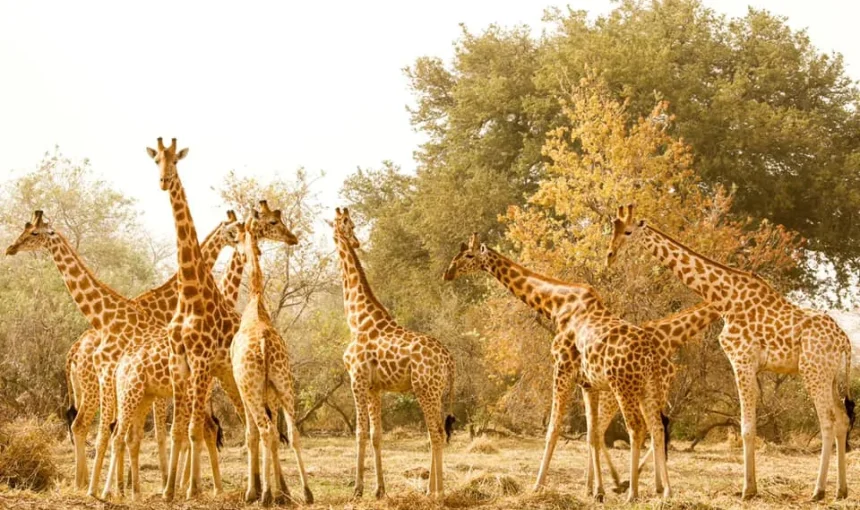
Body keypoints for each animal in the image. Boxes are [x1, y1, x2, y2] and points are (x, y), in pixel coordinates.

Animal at [231, 218, 313, 505]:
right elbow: (279, 437)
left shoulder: (243, 389)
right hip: (285, 383)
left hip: (252, 388)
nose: (242, 253)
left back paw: (265, 495)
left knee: (265, 430)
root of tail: (265, 343)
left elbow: (251, 435)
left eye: (238, 238)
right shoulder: (272, 392)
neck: (256, 302)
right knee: (293, 431)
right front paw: (283, 492)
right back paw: (306, 493)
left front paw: (254, 491)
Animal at [330, 208, 456, 498]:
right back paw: (430, 489)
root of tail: (449, 359)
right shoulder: (375, 387)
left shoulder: (357, 380)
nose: (355, 241)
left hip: (424, 389)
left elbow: (360, 432)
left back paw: (438, 492)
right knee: (436, 432)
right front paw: (380, 490)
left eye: (349, 223)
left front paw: (357, 489)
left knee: (435, 434)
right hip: (437, 391)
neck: (357, 319)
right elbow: (377, 435)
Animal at [444, 233, 670, 502]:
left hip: (623, 387)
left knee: (637, 428)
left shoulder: (561, 369)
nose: (447, 273)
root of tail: (650, 354)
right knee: (657, 427)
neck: (556, 305)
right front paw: (597, 491)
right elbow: (592, 434)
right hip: (650, 386)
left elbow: (552, 429)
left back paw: (633, 493)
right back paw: (665, 491)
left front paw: (537, 485)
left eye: (468, 255)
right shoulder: (588, 384)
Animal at [607, 204, 855, 501]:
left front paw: (747, 490)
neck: (725, 298)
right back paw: (841, 490)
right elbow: (748, 424)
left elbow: (746, 427)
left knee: (827, 421)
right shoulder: (747, 364)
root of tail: (844, 341)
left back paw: (818, 491)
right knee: (842, 420)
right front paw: (751, 486)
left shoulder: (742, 360)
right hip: (831, 376)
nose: (610, 255)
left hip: (813, 372)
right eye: (612, 229)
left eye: (628, 232)